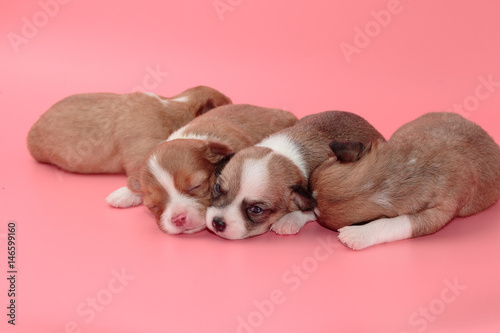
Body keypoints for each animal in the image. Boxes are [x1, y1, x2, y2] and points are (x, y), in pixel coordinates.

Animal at [205, 111, 384, 239]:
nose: (217, 223)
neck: (284, 154)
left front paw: (288, 220)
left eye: (256, 209)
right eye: (217, 188)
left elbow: (309, 210)